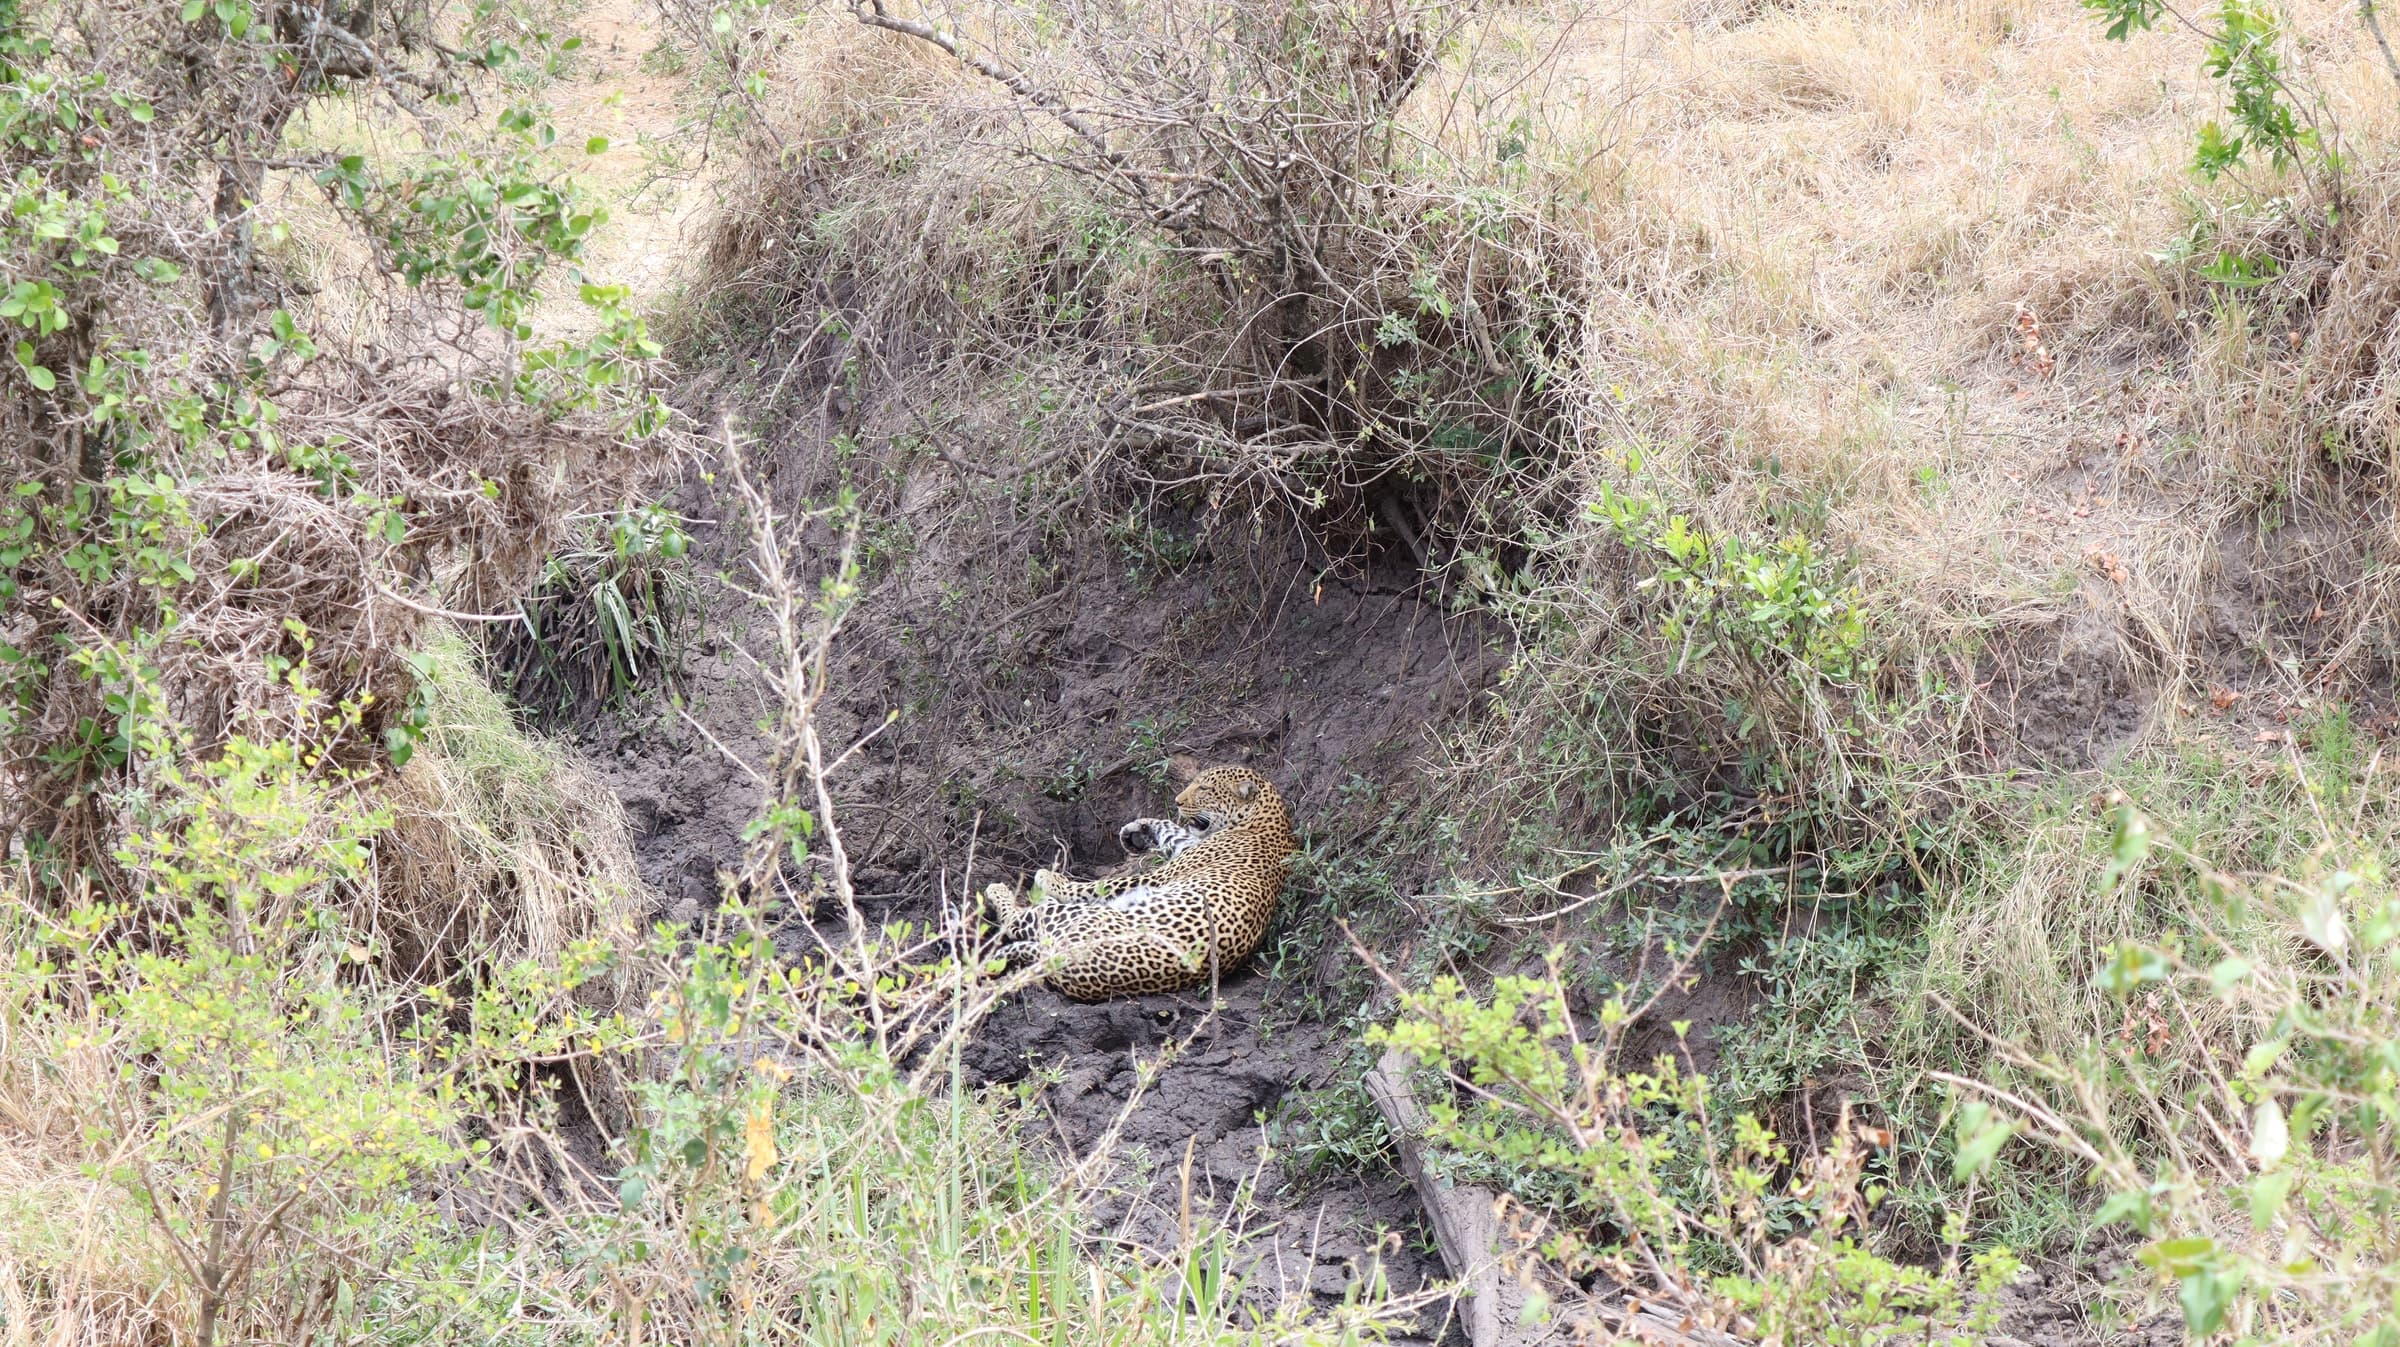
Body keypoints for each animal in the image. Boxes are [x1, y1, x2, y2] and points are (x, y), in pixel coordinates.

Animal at [980, 765, 1296, 1000]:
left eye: (1205, 789)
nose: (1178, 801)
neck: (1266, 819)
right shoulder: (1184, 846)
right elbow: (1173, 832)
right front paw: (1138, 829)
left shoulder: (1160, 875)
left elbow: (1099, 886)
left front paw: (1051, 878)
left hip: (1079, 917)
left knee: (1018, 920)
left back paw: (1000, 889)